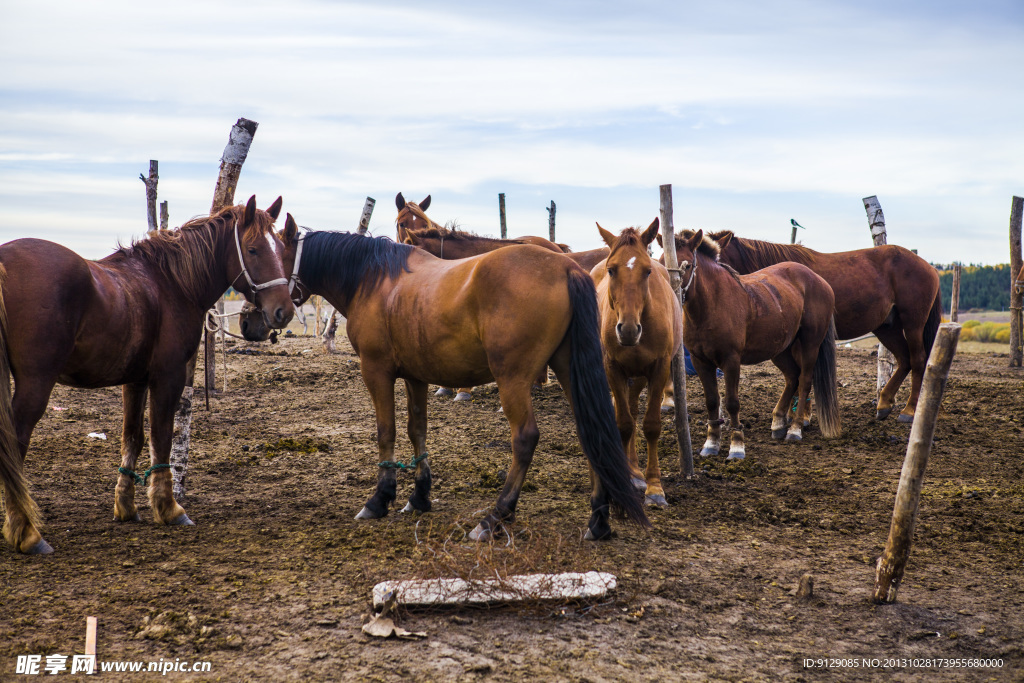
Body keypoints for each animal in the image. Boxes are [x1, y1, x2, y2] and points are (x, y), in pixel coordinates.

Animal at [0, 194, 294, 552]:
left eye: (281, 249)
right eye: (252, 250)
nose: (283, 311)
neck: (171, 283)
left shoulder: (135, 381)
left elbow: (133, 439)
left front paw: (126, 507)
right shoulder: (167, 376)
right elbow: (162, 438)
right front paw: (169, 508)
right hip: (36, 382)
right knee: (14, 444)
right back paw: (27, 532)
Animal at [589, 220, 684, 507]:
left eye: (647, 271)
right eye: (612, 270)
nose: (628, 330)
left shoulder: (659, 369)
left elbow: (650, 425)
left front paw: (654, 488)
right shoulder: (612, 368)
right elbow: (624, 424)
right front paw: (626, 478)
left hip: (640, 375)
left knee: (632, 407)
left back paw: (635, 470)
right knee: (625, 413)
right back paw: (630, 470)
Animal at [659, 229, 937, 421]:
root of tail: (928, 266)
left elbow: (803, 373)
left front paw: (800, 415)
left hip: (912, 324)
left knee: (918, 360)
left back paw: (910, 410)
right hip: (886, 327)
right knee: (904, 360)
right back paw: (884, 403)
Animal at [663, 232, 839, 462]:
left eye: (689, 265)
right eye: (661, 262)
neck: (712, 305)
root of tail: (819, 280)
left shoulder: (731, 360)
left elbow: (731, 402)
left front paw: (737, 446)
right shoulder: (699, 361)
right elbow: (712, 401)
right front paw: (711, 443)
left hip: (810, 345)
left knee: (804, 381)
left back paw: (795, 428)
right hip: (780, 348)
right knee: (792, 377)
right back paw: (778, 421)